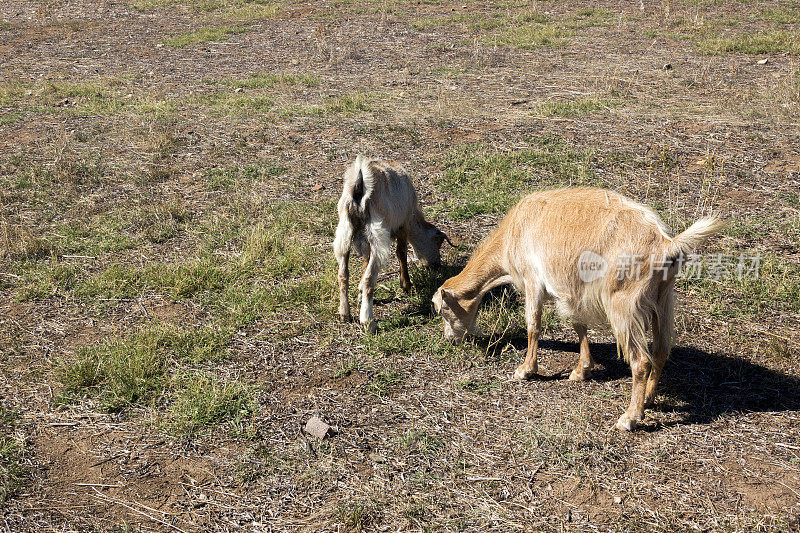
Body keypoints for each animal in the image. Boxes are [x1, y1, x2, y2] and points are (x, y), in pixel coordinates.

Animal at [334, 153, 454, 332]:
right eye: (438, 242)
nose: (436, 264)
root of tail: (359, 187)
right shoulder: (403, 224)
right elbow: (401, 253)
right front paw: (407, 285)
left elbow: (365, 261)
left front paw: (359, 292)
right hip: (377, 234)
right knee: (370, 278)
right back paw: (368, 322)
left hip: (344, 232)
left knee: (343, 275)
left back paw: (344, 314)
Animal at [432, 189, 724, 430]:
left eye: (442, 310)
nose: (450, 339)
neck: (511, 237)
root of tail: (665, 243)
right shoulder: (572, 292)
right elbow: (578, 324)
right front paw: (581, 370)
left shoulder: (533, 280)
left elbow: (533, 324)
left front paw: (525, 370)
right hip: (663, 299)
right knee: (662, 349)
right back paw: (648, 400)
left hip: (624, 303)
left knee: (641, 360)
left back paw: (630, 418)